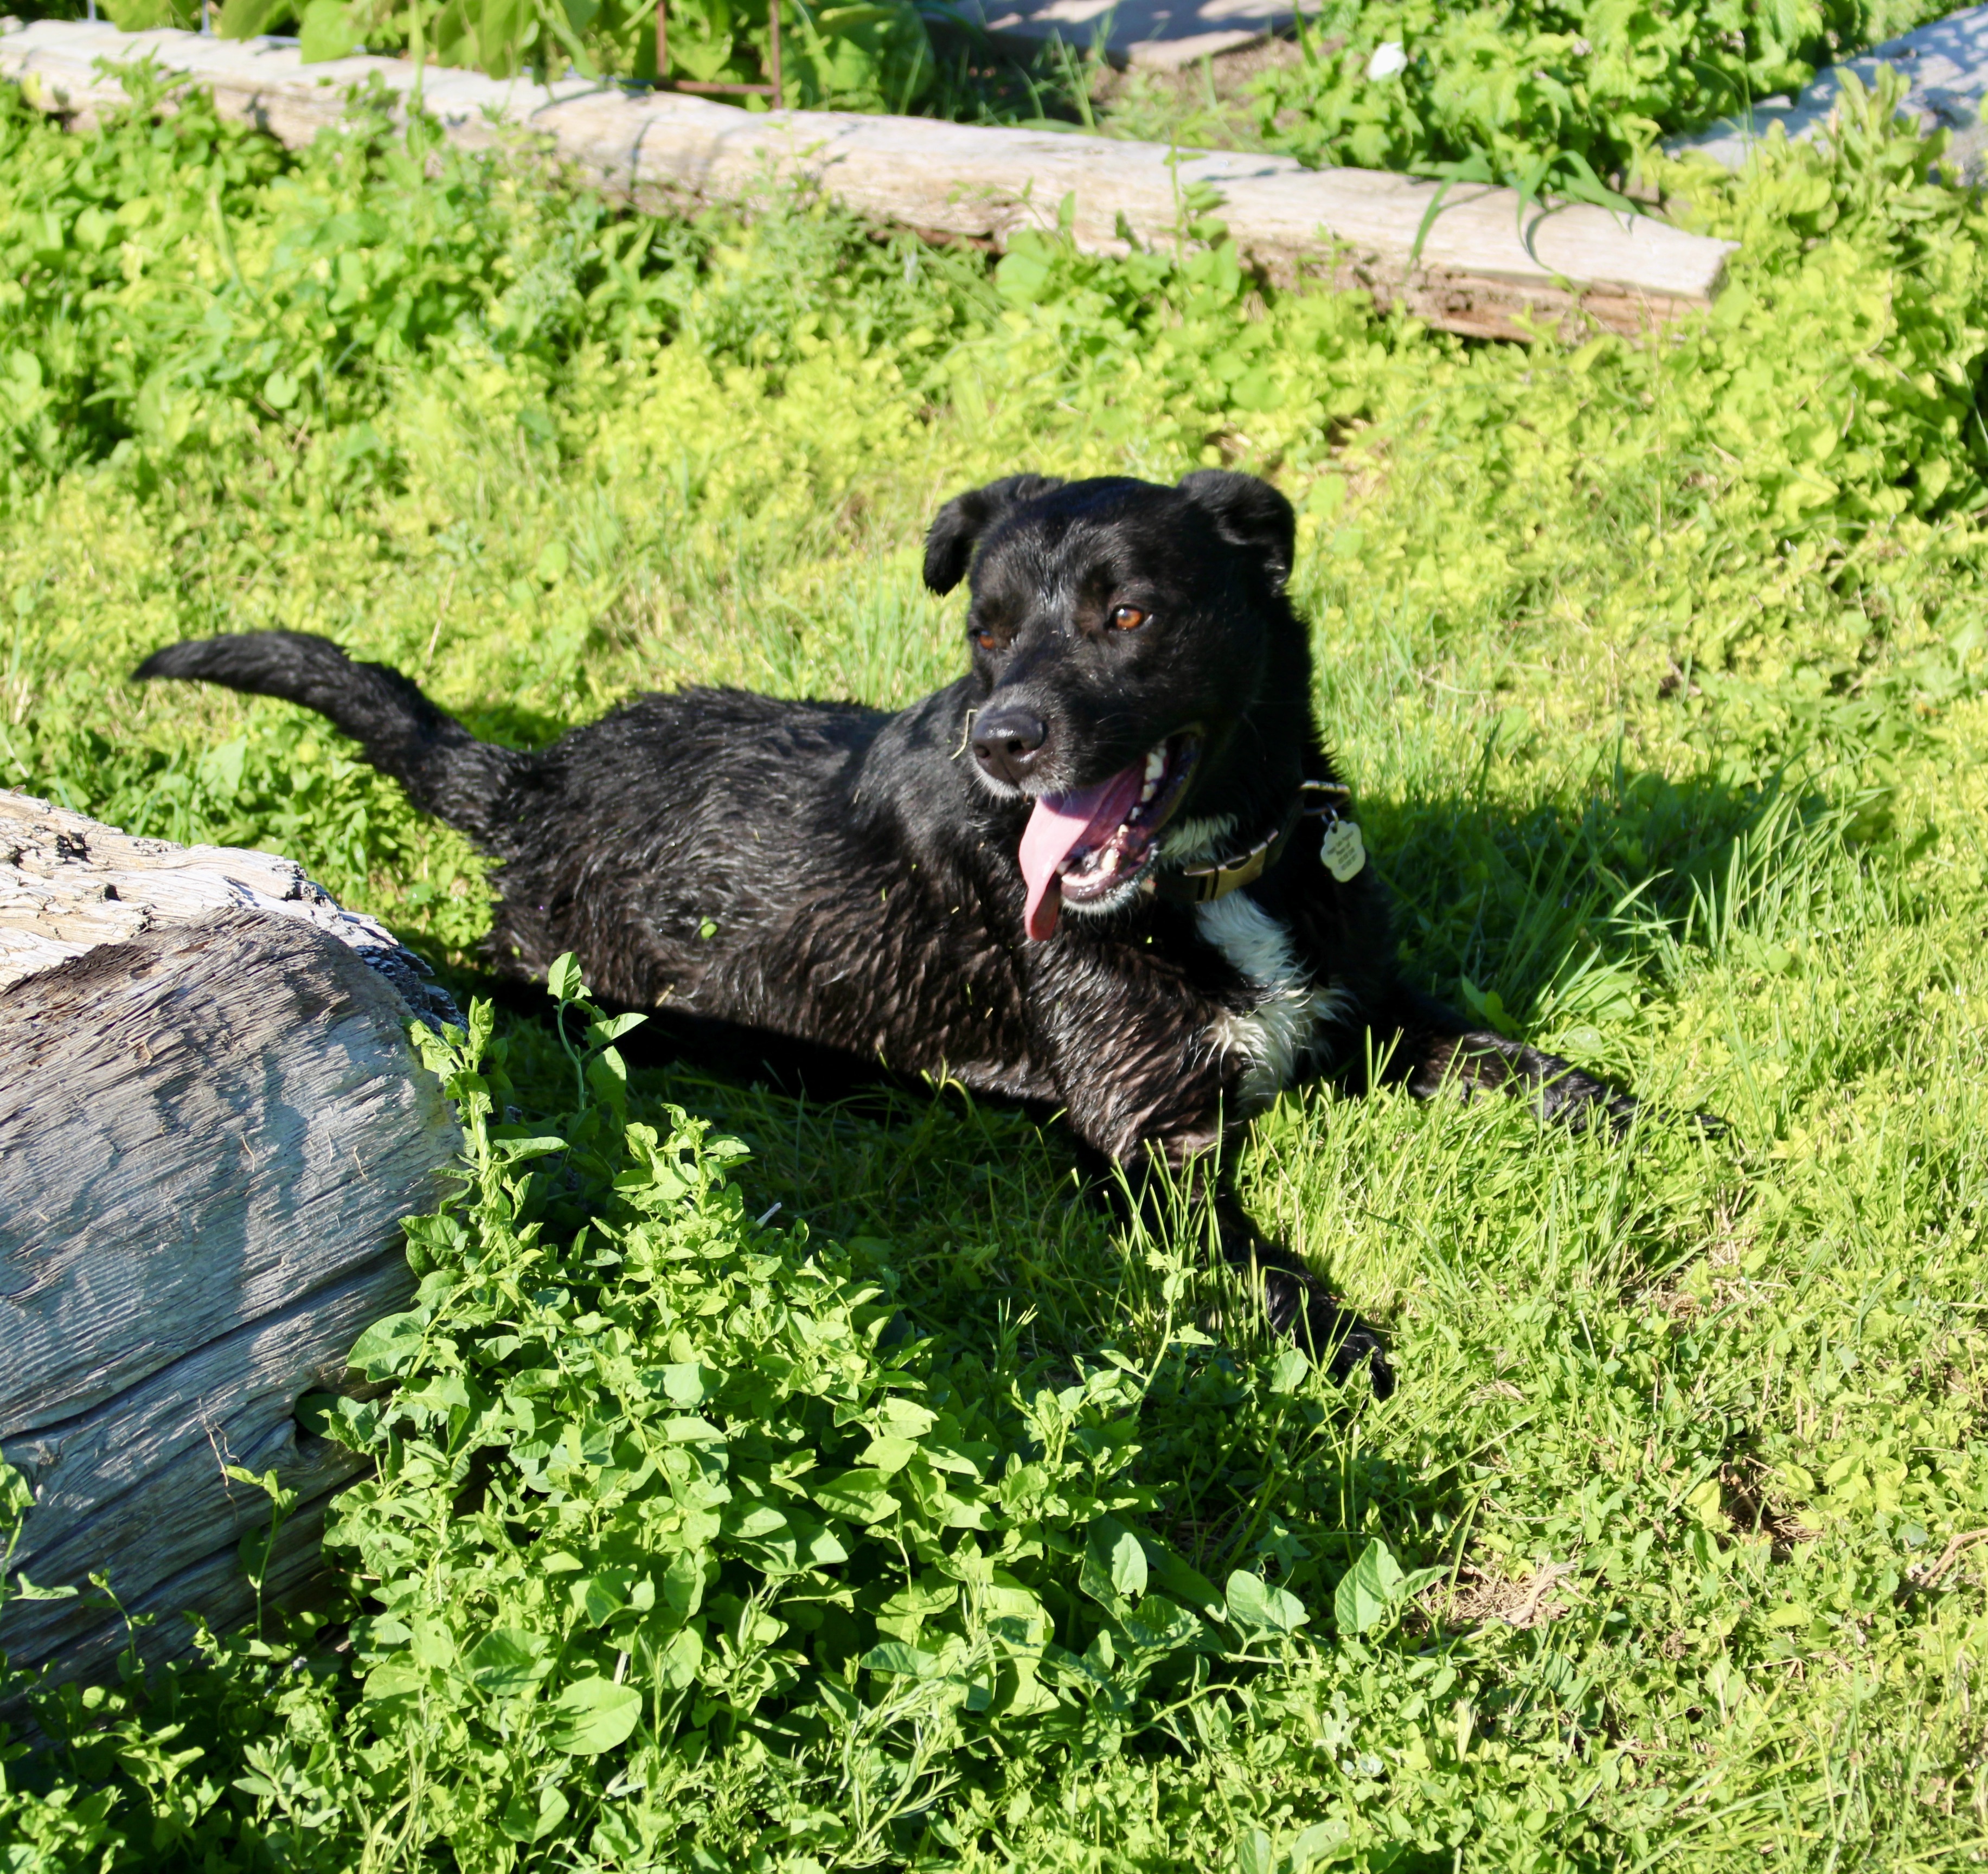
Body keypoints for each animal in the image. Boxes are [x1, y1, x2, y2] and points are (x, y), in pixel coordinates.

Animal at [136, 473, 1630, 1391]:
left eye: (1128, 612)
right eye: (985, 632)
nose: (1004, 739)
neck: (1210, 880)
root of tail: (530, 783)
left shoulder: (1366, 1009)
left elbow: (1509, 1059)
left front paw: (1623, 1113)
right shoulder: (1148, 1148)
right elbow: (1258, 1265)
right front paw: (1334, 1335)